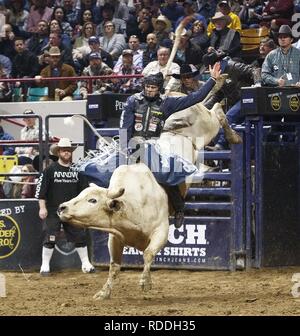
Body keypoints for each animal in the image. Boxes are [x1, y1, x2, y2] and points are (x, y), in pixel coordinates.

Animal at [57, 163, 170, 300]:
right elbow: (114, 266)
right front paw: (104, 292)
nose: (62, 207)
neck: (135, 209)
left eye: (92, 200)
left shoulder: (161, 231)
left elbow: (148, 253)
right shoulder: (115, 237)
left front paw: (145, 282)